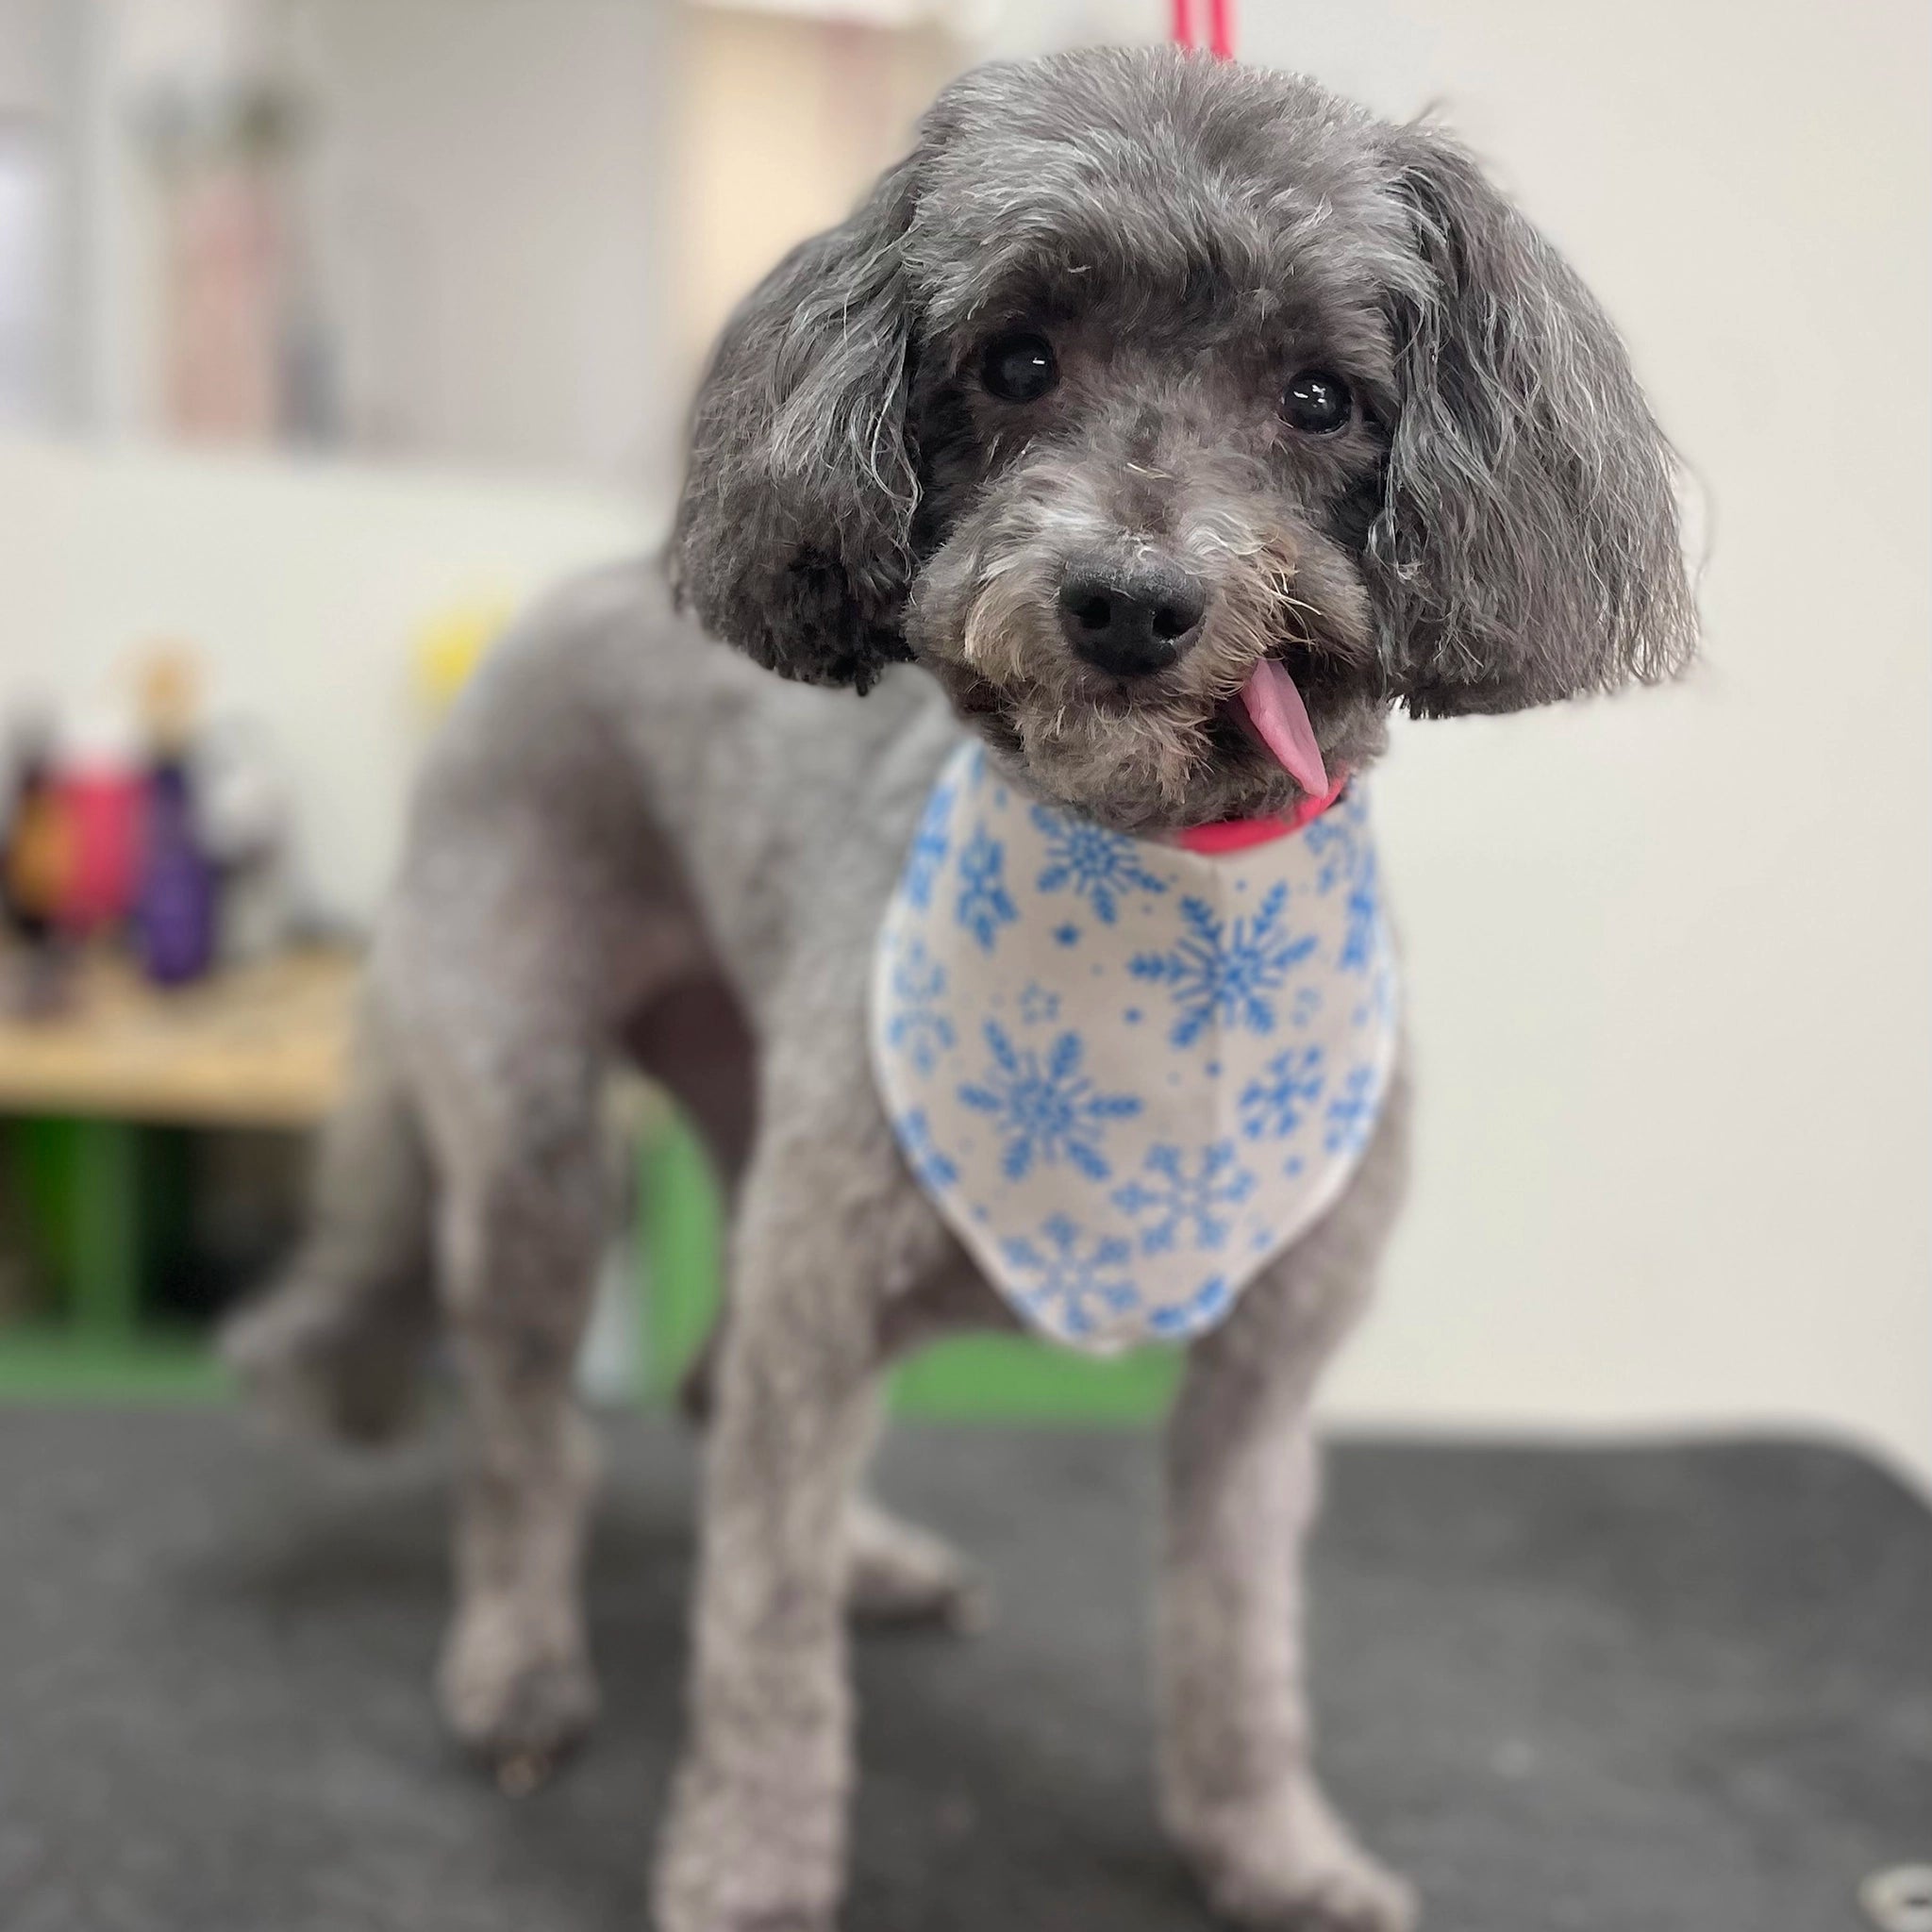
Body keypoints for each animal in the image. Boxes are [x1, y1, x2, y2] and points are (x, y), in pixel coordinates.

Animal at [224, 45, 1694, 1932]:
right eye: (1016, 360)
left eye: (1319, 394)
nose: (1129, 602)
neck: (1162, 901)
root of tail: (584, 587)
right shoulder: (819, 1286)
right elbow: (759, 1640)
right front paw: (750, 1864)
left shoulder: (1261, 1385)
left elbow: (1237, 1646)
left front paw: (1270, 1850)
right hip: (540, 1132)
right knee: (531, 1429)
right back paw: (517, 1660)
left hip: (764, 1124)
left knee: (723, 1401)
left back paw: (867, 1564)